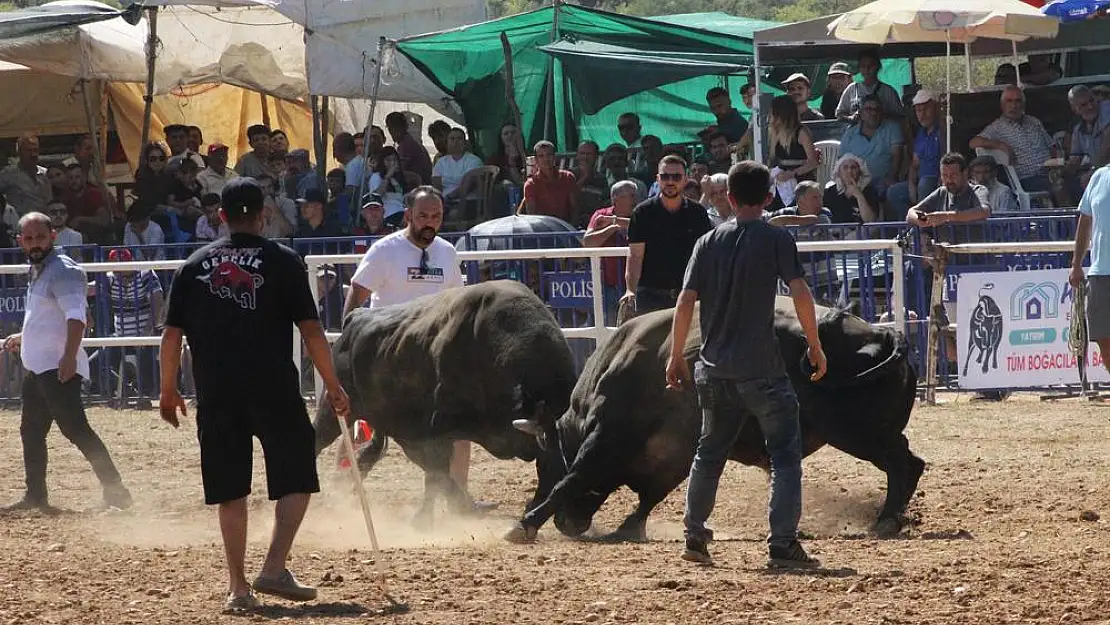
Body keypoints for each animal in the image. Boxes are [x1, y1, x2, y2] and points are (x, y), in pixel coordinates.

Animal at [310, 280, 577, 530]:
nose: (567, 519)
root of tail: (354, 318)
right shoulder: (438, 429)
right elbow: (436, 475)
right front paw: (423, 520)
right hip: (334, 411)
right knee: (318, 440)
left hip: (402, 431)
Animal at [508, 297, 923, 543]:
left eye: (544, 464)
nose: (567, 525)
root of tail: (883, 334)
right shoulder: (676, 454)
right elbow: (653, 494)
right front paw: (630, 527)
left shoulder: (609, 436)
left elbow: (576, 478)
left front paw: (525, 524)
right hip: (871, 433)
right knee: (911, 462)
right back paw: (893, 516)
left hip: (858, 433)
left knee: (901, 462)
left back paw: (886, 518)